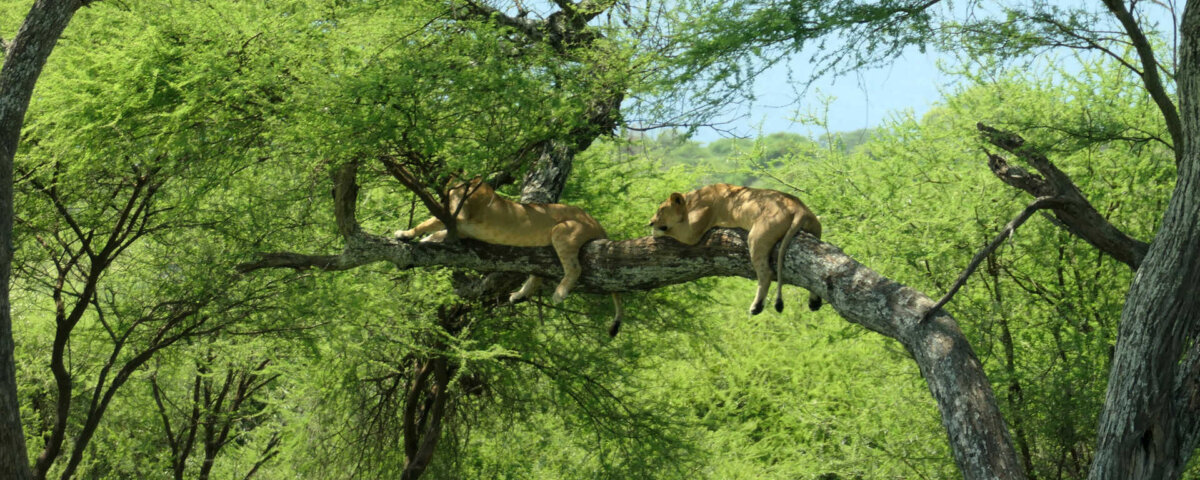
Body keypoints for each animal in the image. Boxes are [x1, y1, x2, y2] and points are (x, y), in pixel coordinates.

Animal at [396, 177, 625, 336]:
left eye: (454, 193)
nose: (446, 197)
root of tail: (595, 221)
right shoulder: (461, 229)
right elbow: (435, 233)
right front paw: (423, 240)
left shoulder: (458, 219)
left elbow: (426, 224)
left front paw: (404, 234)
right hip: (545, 248)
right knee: (539, 274)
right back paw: (519, 295)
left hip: (562, 231)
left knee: (574, 268)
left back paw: (559, 293)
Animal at [648, 183, 822, 315]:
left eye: (661, 210)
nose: (650, 222)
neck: (691, 200)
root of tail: (799, 208)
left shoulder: (692, 232)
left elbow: (672, 231)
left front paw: (655, 230)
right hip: (816, 229)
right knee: (813, 272)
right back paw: (814, 302)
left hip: (757, 236)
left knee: (767, 273)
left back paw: (756, 307)